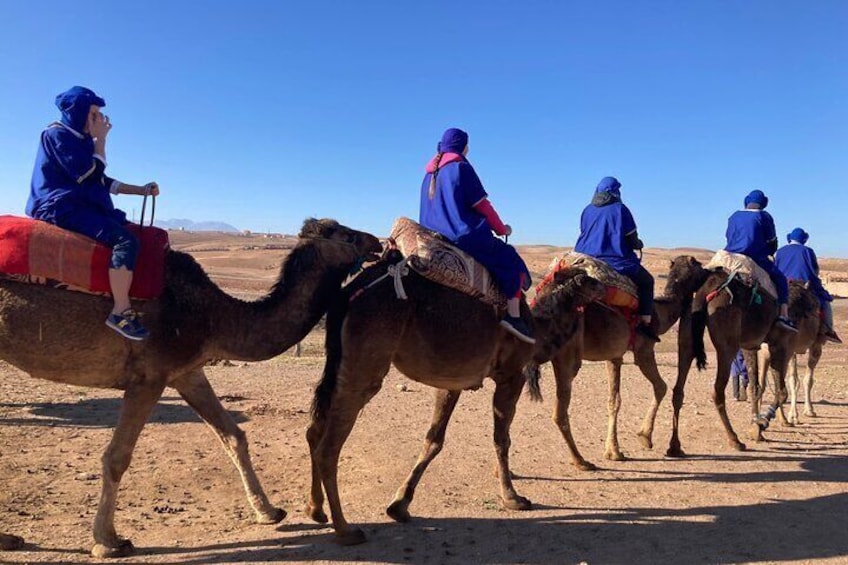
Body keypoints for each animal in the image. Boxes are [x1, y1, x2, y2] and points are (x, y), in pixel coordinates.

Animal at [0, 218, 380, 556]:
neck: (212, 315)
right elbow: (117, 456)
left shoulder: (187, 372)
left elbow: (233, 436)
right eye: (343, 232)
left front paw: (269, 511)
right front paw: (108, 541)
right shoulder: (149, 376)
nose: (376, 241)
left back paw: (9, 539)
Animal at [302, 253, 608, 544]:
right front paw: (513, 497)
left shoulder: (452, 383)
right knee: (329, 446)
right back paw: (345, 530)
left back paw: (316, 509)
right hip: (367, 358)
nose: (603, 286)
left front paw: (399, 504)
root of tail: (349, 294)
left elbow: (433, 440)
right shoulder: (511, 375)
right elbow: (502, 439)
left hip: (340, 361)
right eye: (587, 278)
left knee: (314, 429)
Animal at [528, 254, 704, 468]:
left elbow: (614, 400)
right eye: (699, 265)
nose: (711, 269)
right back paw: (581, 461)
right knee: (559, 412)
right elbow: (661, 387)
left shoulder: (614, 356)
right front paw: (645, 437)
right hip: (568, 356)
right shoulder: (644, 351)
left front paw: (613, 451)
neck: (660, 313)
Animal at [664, 253, 800, 456]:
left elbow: (756, 386)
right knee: (717, 391)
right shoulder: (780, 344)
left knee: (678, 389)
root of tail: (705, 292)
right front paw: (762, 423)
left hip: (687, 334)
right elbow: (781, 392)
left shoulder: (751, 345)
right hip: (727, 346)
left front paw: (756, 425)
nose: (669, 290)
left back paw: (674, 446)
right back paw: (734, 440)